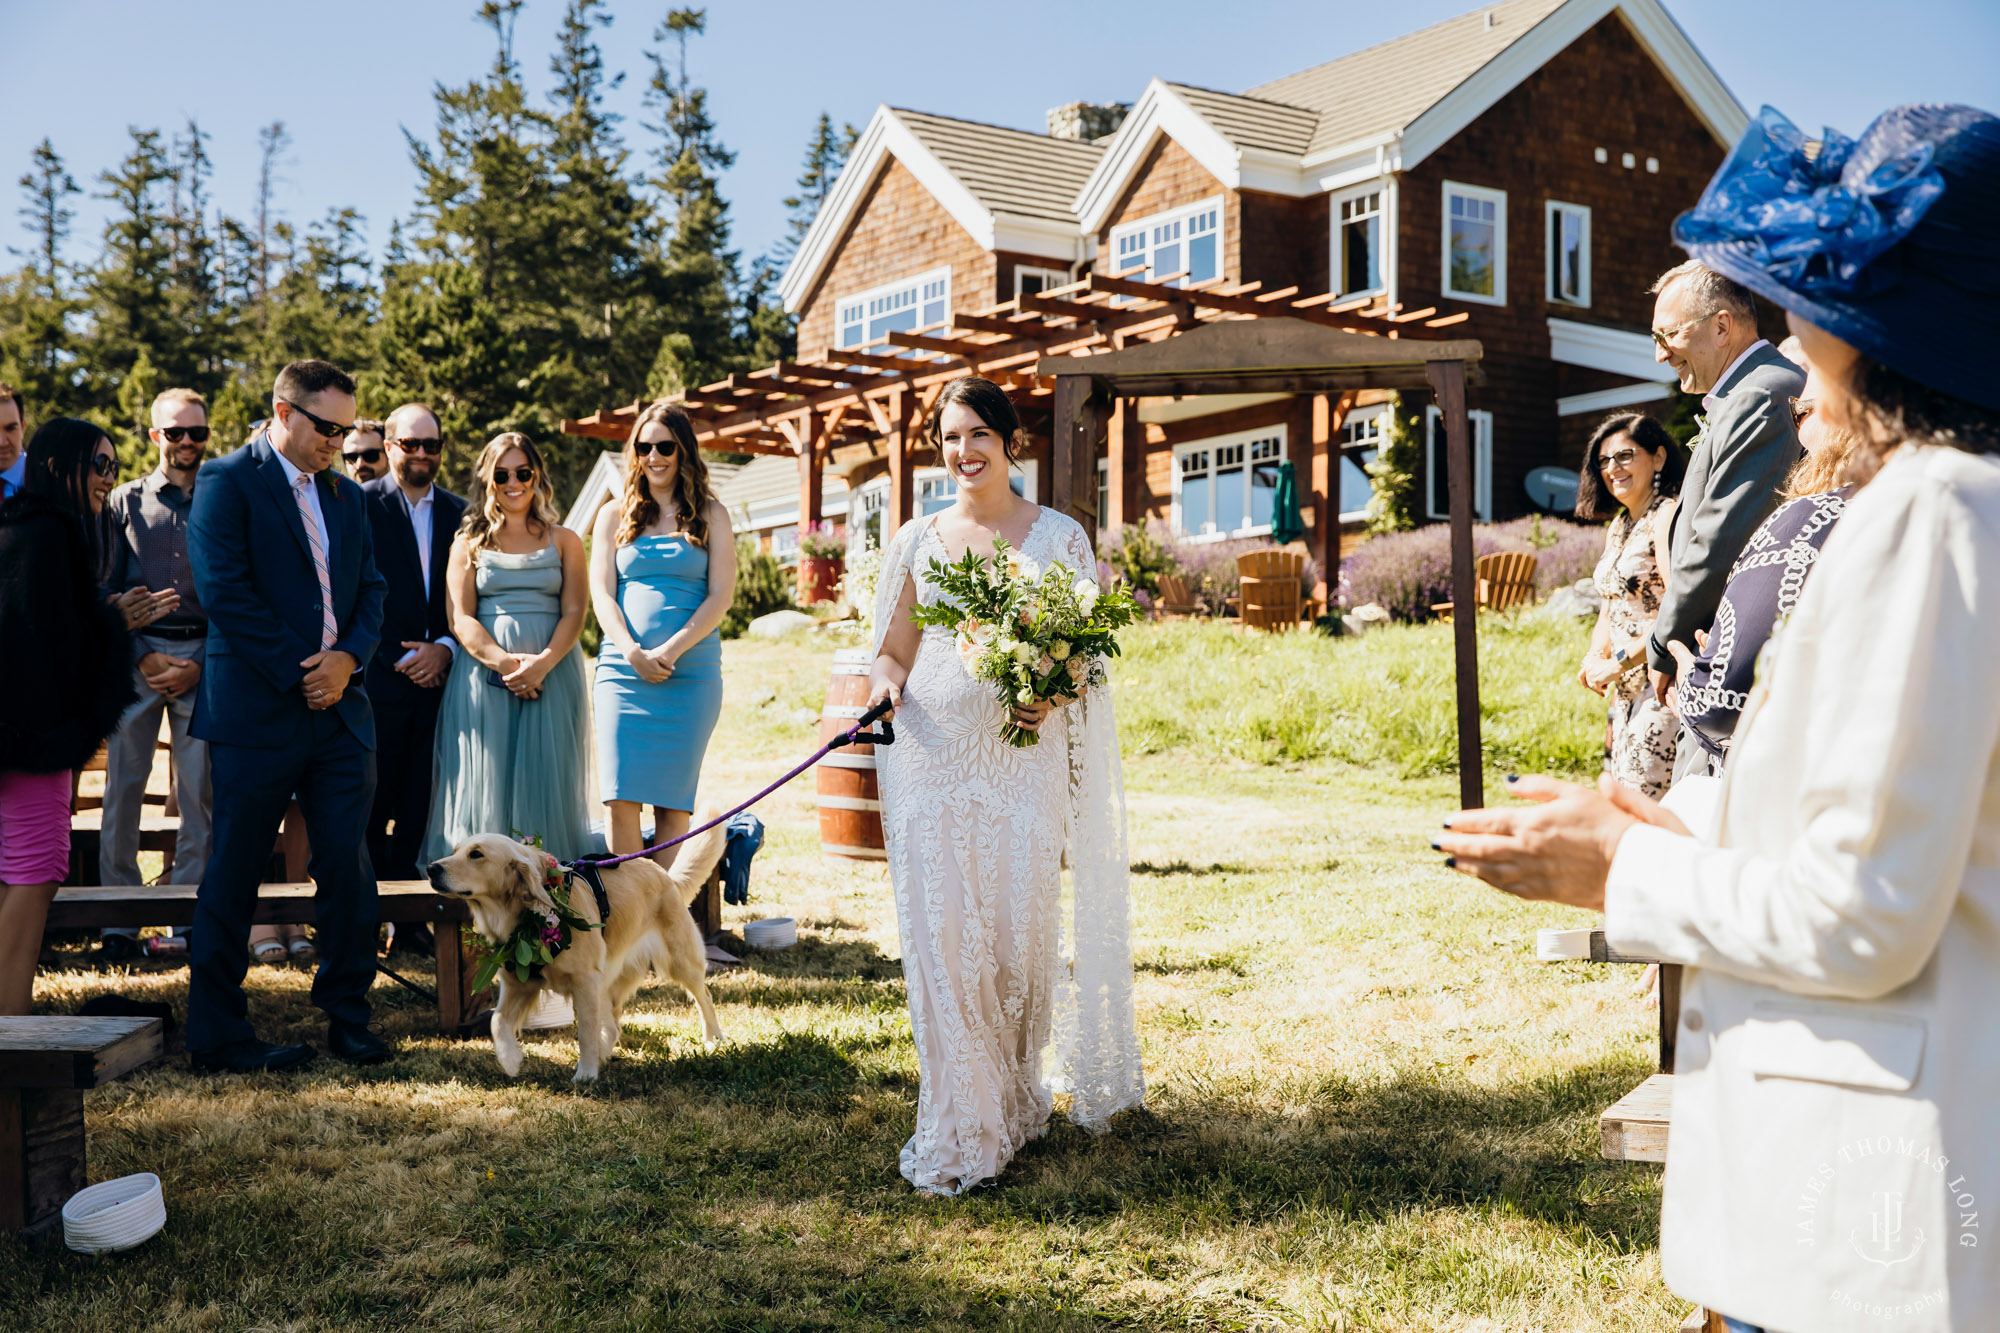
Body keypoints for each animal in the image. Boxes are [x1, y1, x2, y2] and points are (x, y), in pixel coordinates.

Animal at [426, 820, 732, 1080]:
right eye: (455, 851)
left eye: (476, 854)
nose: (431, 868)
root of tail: (664, 874)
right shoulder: (518, 983)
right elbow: (497, 1021)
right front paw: (510, 1059)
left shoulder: (584, 981)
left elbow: (585, 1030)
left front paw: (585, 1074)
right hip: (607, 980)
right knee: (613, 1024)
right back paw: (603, 1054)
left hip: (679, 960)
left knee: (704, 996)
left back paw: (713, 1039)